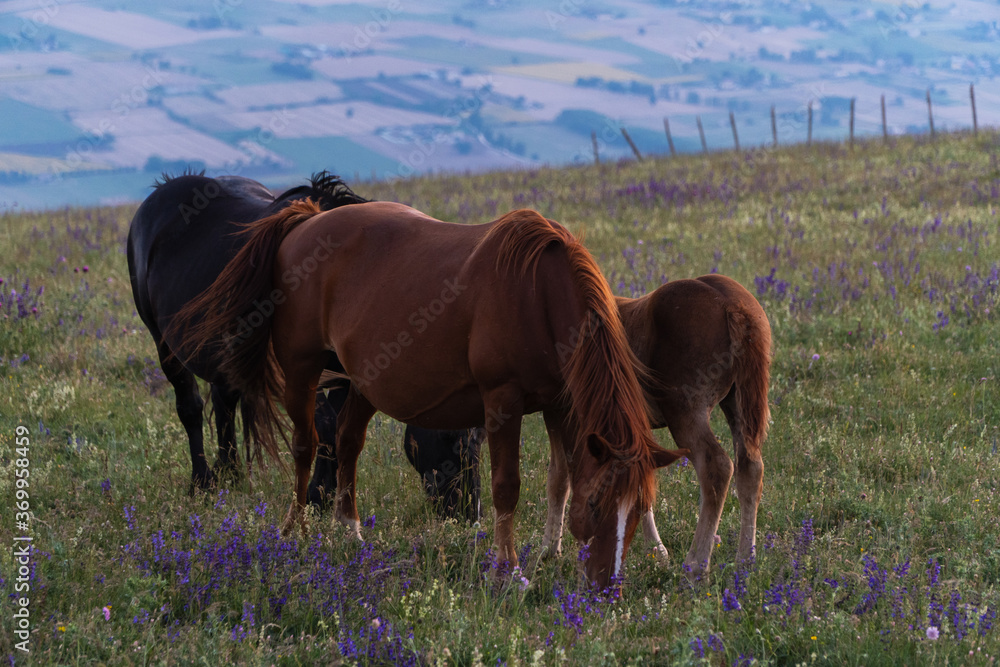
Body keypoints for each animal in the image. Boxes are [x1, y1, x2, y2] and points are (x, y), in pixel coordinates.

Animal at [126, 171, 367, 489]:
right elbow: (326, 426)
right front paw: (317, 493)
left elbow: (341, 431)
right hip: (165, 344)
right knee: (190, 407)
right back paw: (202, 481)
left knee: (223, 402)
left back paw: (229, 473)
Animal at [172, 199, 687, 587]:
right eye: (599, 506)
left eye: (638, 510)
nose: (606, 587)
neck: (538, 292)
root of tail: (306, 221)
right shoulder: (502, 401)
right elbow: (507, 487)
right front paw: (508, 571)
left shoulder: (560, 403)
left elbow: (560, 480)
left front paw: (551, 554)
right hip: (302, 370)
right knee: (306, 446)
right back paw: (292, 532)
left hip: (363, 380)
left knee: (347, 445)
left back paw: (350, 532)